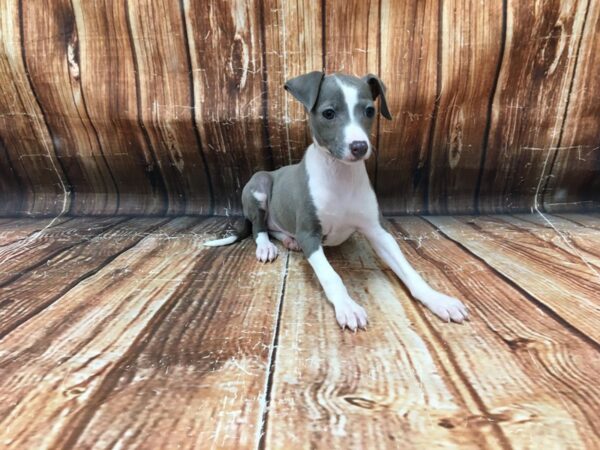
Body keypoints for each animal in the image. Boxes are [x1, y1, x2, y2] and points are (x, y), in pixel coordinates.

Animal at [205, 71, 468, 330]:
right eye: (328, 113)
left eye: (369, 111)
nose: (359, 146)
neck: (341, 175)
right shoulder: (310, 234)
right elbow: (331, 276)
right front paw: (348, 307)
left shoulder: (378, 231)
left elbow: (408, 269)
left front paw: (437, 299)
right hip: (259, 185)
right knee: (259, 227)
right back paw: (266, 247)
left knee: (275, 227)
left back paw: (289, 240)